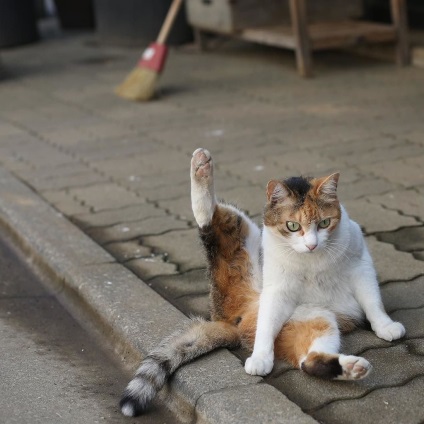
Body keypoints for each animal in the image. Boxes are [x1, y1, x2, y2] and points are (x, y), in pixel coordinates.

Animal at [118, 149, 404, 418]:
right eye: (292, 226)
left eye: (325, 223)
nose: (312, 245)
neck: (313, 260)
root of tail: (232, 320)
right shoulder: (277, 289)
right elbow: (267, 326)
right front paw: (260, 359)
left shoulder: (360, 265)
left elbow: (372, 302)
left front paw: (385, 326)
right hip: (242, 243)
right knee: (208, 220)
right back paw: (201, 165)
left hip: (313, 318)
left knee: (308, 360)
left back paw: (351, 368)